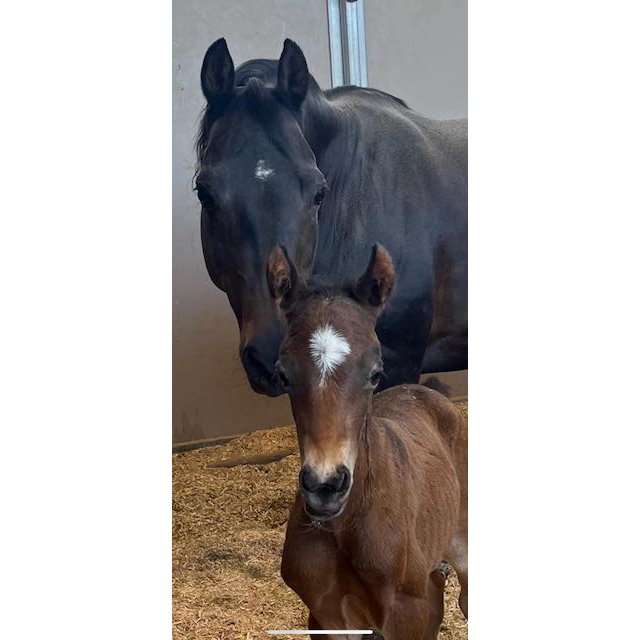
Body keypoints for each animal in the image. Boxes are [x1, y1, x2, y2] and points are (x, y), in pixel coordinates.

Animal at [268, 242, 468, 636]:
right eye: (283, 375)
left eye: (375, 373)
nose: (326, 486)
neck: (344, 528)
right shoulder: (326, 617)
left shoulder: (404, 613)